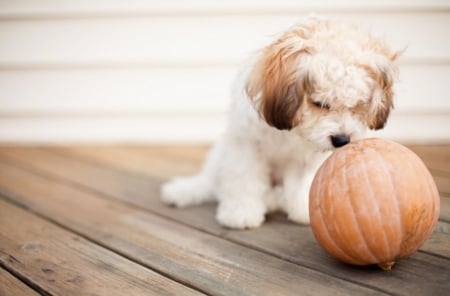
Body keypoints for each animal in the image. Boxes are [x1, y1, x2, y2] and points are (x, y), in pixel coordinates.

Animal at [160, 15, 400, 229]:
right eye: (319, 103)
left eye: (358, 105)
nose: (341, 140)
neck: (292, 131)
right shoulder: (245, 143)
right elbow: (243, 178)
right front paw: (241, 213)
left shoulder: (307, 159)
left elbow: (304, 183)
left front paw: (304, 210)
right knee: (210, 183)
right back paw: (185, 191)